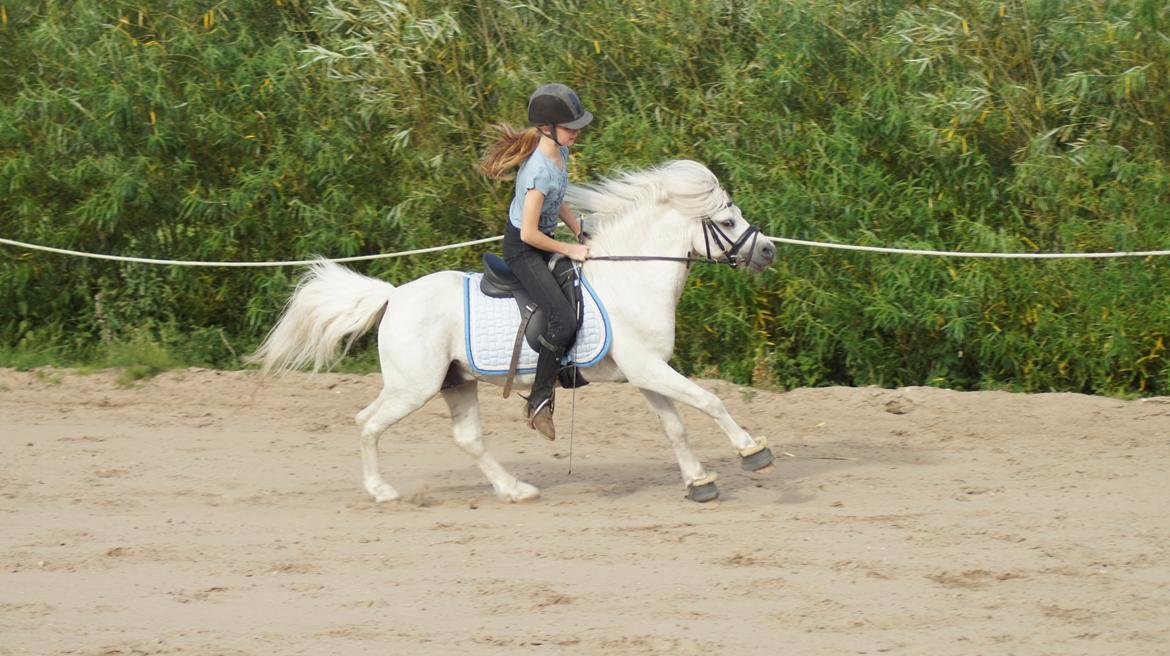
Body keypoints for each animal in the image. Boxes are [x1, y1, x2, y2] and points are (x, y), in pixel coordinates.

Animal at [246, 159, 776, 500]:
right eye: (728, 220)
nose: (769, 250)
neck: (630, 276)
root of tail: (393, 297)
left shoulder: (645, 371)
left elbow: (676, 426)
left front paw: (699, 482)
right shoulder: (648, 367)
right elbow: (710, 401)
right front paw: (753, 451)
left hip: (455, 382)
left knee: (467, 439)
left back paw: (515, 489)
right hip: (412, 387)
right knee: (367, 422)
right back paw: (382, 491)